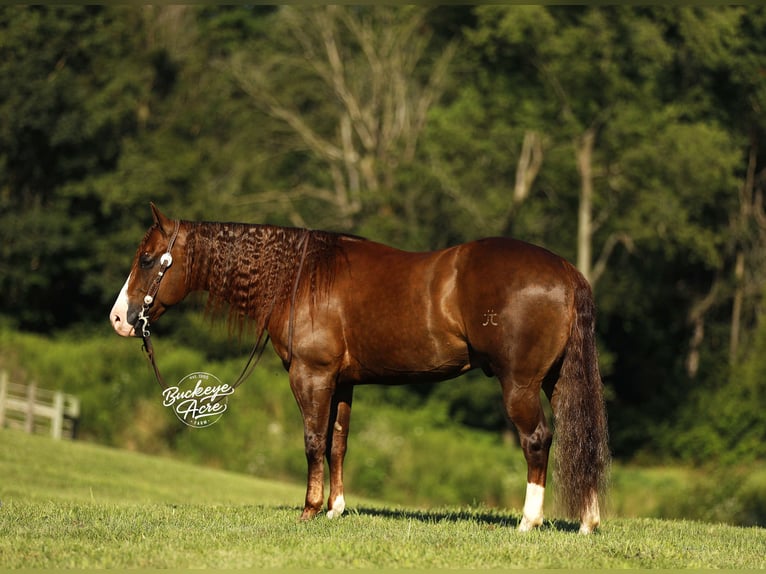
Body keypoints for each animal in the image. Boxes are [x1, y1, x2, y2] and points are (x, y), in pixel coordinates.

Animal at [110, 204, 609, 534]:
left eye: (148, 260)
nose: (119, 319)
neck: (298, 277)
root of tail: (565, 271)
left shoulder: (310, 375)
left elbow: (313, 441)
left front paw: (310, 509)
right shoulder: (342, 382)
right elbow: (338, 444)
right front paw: (336, 508)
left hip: (520, 384)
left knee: (538, 440)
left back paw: (528, 522)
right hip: (557, 381)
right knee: (580, 438)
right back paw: (588, 522)